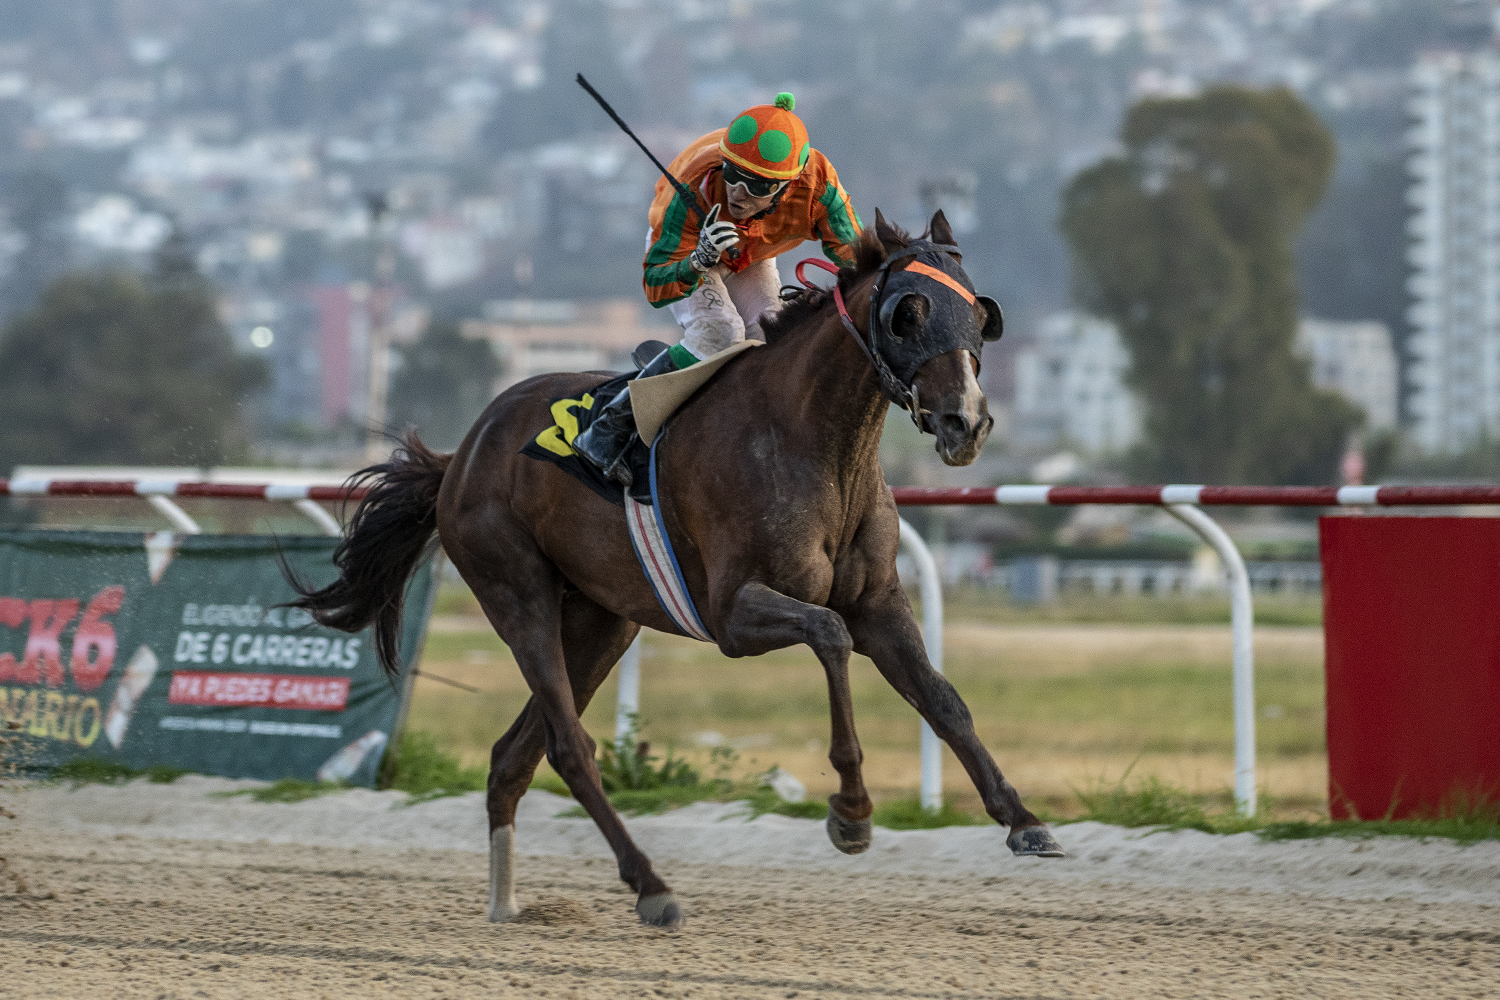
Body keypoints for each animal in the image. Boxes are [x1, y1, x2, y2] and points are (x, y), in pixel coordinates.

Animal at [289, 210, 1064, 930]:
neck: (810, 439)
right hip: (518, 591)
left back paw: (507, 903)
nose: (967, 423)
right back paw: (651, 886)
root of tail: (463, 452)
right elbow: (829, 636)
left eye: (980, 313)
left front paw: (1025, 823)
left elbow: (943, 698)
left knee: (516, 754)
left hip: (600, 621)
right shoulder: (733, 615)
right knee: (568, 746)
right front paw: (850, 810)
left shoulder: (877, 602)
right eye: (910, 312)